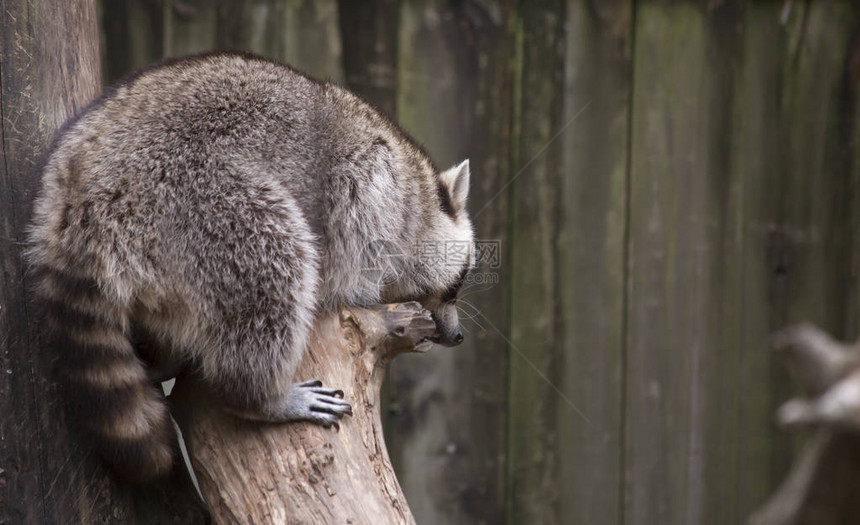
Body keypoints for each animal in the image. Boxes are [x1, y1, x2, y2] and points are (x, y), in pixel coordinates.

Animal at [26, 53, 474, 484]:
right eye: (458, 283)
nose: (457, 336)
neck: (416, 196)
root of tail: (80, 197)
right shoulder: (366, 192)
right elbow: (344, 270)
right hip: (199, 201)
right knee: (275, 264)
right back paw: (259, 397)